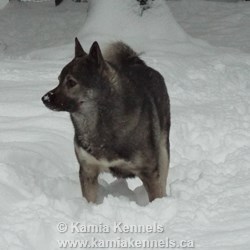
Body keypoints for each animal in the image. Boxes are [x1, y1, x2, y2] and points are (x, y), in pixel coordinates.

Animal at [42, 39, 171, 203]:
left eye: (71, 82)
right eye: (59, 80)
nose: (45, 98)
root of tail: (137, 62)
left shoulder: (149, 172)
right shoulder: (88, 170)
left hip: (163, 152)